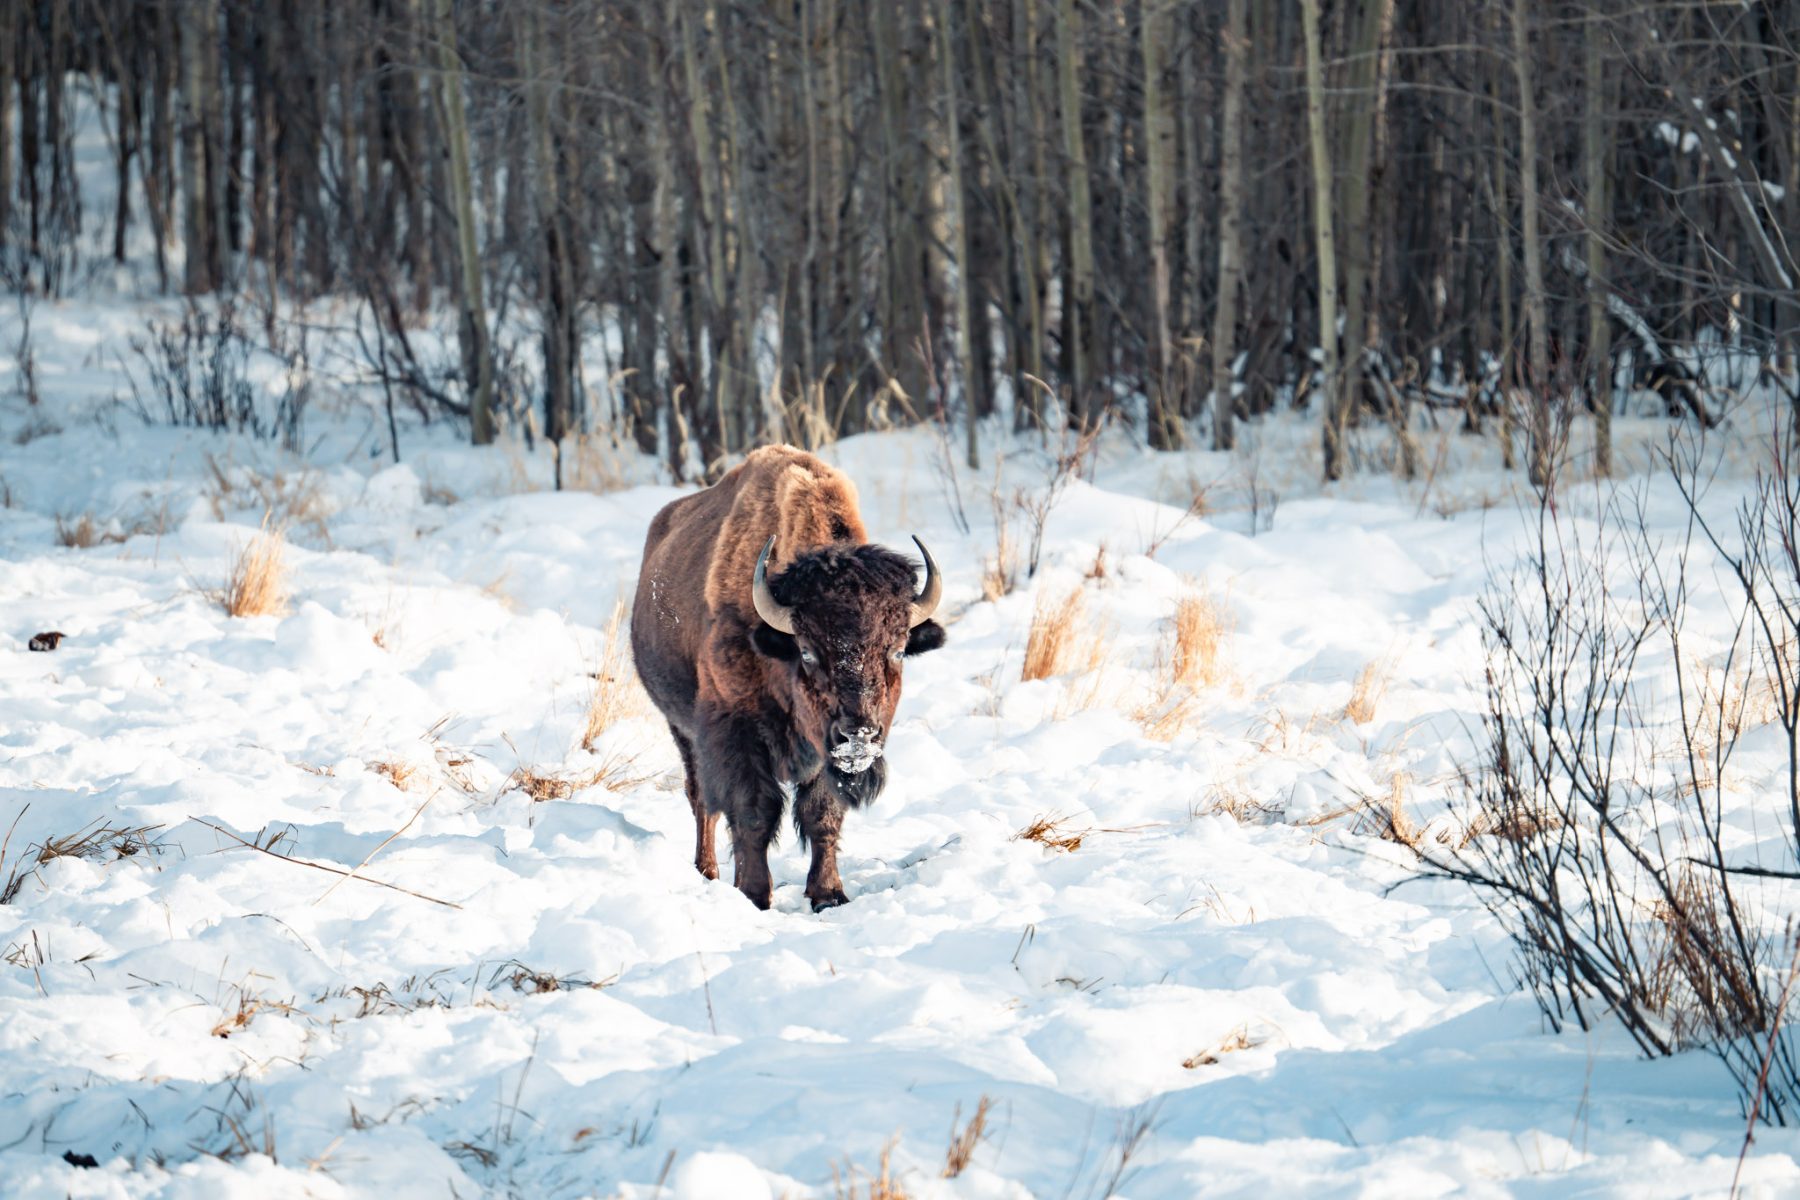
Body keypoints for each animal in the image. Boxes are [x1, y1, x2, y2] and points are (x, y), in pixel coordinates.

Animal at [630, 447, 950, 910]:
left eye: (896, 649)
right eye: (807, 650)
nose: (858, 737)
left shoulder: (823, 754)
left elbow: (821, 813)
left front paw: (829, 894)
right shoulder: (735, 734)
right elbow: (753, 811)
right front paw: (754, 895)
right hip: (682, 729)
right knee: (702, 800)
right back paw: (707, 872)